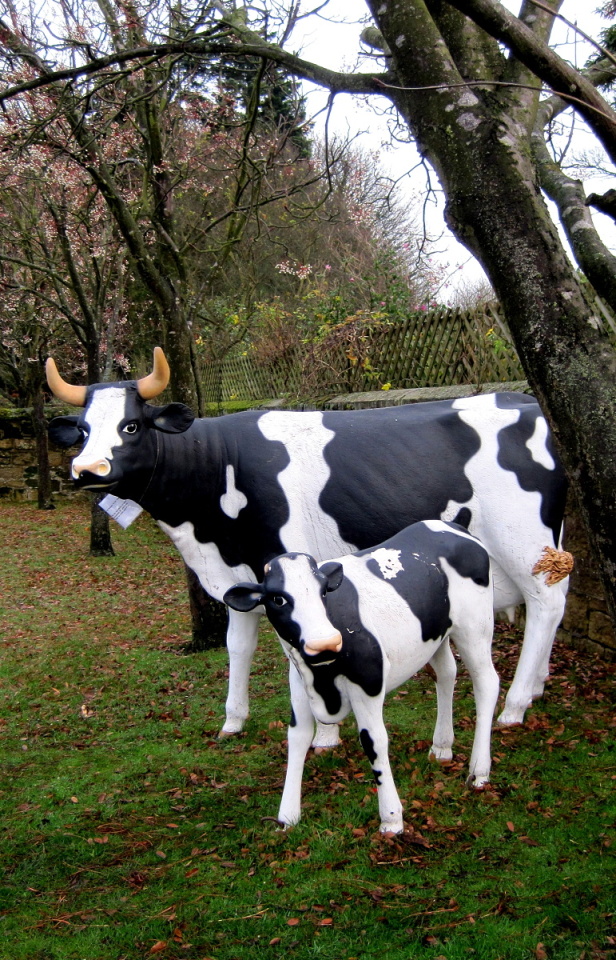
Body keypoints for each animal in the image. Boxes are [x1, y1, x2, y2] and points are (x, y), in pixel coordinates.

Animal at [46, 347, 572, 738]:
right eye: (84, 430)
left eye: (131, 425)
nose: (86, 470)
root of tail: (526, 401)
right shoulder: (241, 578)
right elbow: (238, 646)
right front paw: (233, 720)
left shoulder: (284, 566)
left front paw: (324, 733)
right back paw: (538, 685)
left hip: (524, 544)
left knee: (545, 604)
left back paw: (516, 704)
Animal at [223, 520, 500, 833]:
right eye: (278, 598)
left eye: (323, 592)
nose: (325, 643)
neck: (322, 680)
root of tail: (452, 525)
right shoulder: (299, 681)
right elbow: (297, 736)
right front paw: (287, 816)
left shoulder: (368, 683)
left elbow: (373, 741)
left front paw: (391, 819)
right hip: (436, 633)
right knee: (446, 673)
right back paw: (441, 747)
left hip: (475, 628)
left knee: (486, 682)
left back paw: (479, 771)